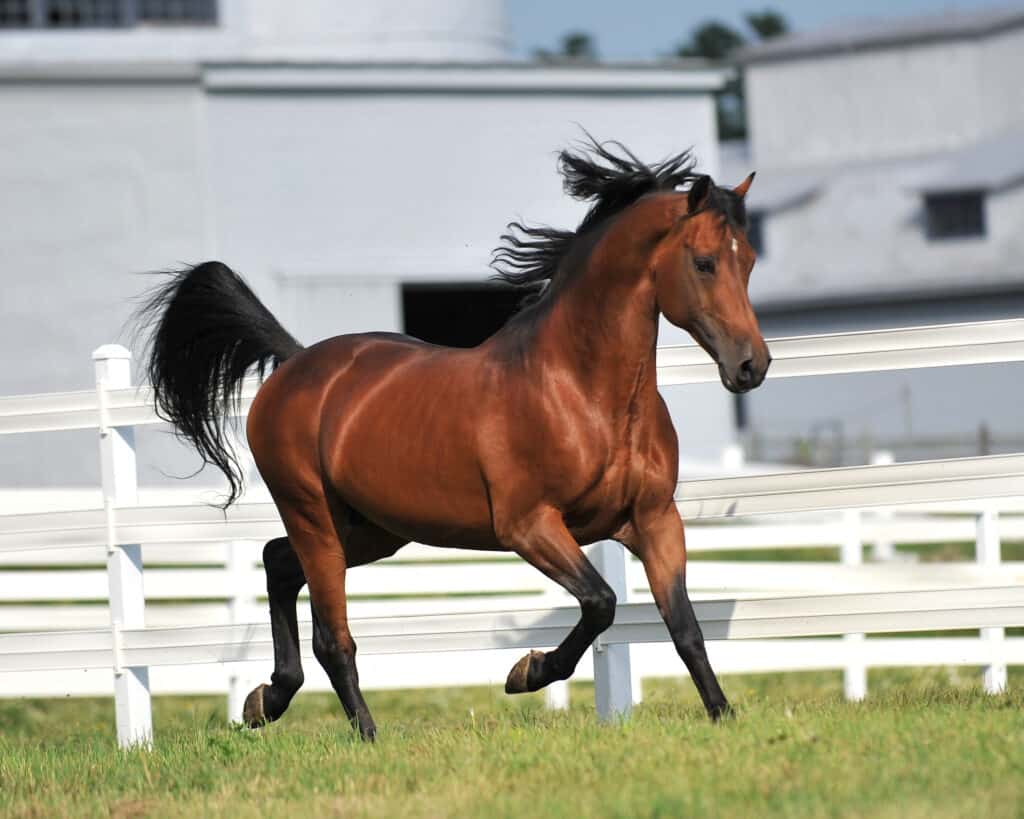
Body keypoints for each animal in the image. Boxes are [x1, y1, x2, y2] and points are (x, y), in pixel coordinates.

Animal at [136, 137, 770, 737]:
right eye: (705, 262)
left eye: (750, 262)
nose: (751, 366)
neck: (582, 393)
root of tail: (294, 364)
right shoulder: (529, 526)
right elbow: (601, 603)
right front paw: (526, 673)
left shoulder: (655, 520)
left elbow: (684, 626)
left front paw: (723, 716)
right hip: (313, 516)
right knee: (332, 637)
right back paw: (363, 735)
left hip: (373, 530)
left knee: (276, 562)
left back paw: (264, 700)